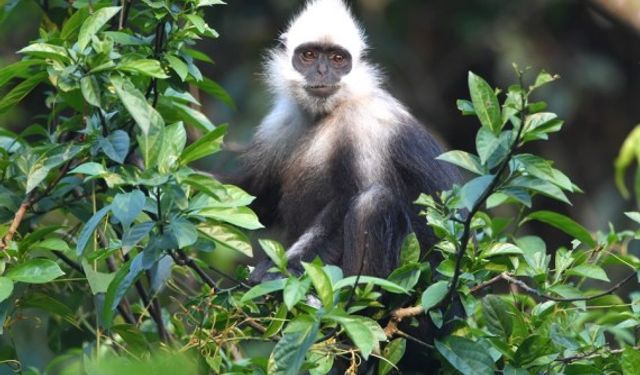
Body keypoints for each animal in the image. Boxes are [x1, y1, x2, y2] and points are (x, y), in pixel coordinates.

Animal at [235, 0, 460, 284]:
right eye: (309, 55)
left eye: (337, 59)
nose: (322, 72)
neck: (328, 111)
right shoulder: (283, 121)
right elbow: (254, 198)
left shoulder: (364, 122)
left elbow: (346, 203)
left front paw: (279, 269)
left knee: (372, 204)